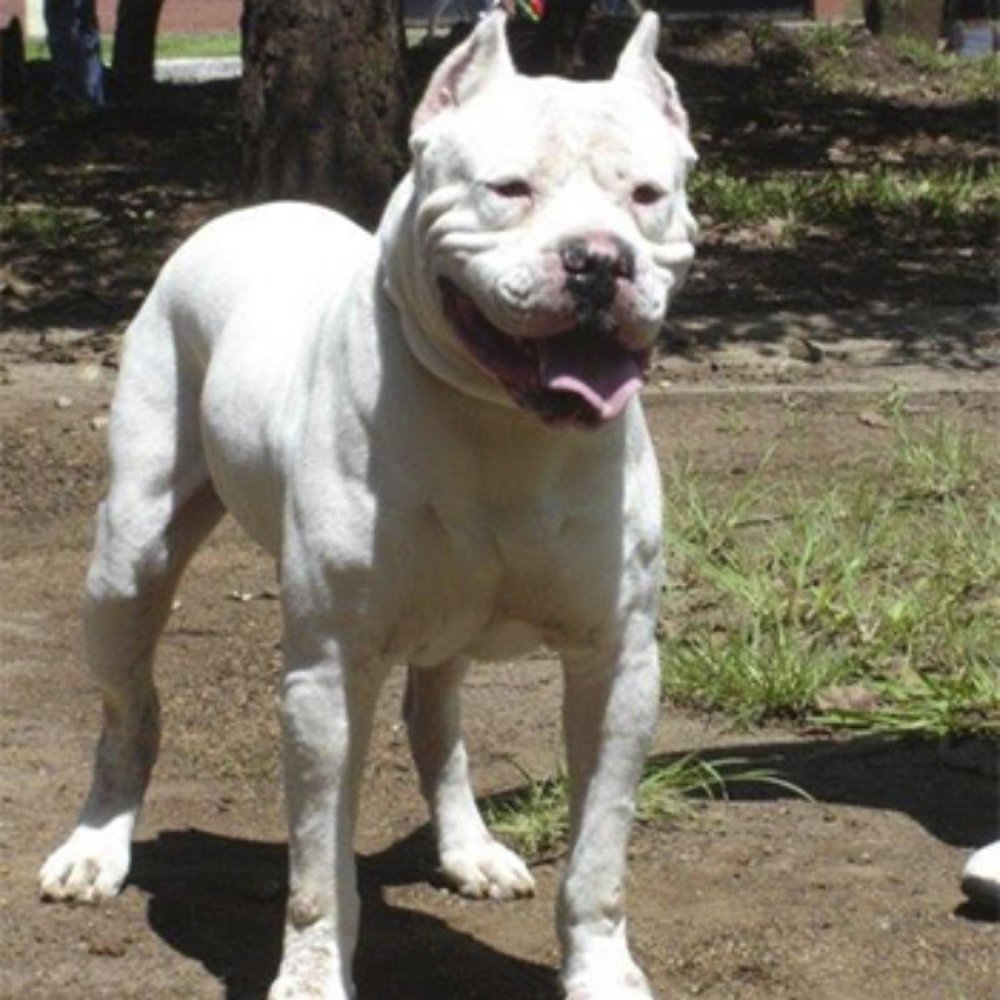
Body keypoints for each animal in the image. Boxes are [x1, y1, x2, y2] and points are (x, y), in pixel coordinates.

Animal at [37, 15, 696, 1000]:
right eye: (509, 189)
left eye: (647, 196)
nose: (598, 260)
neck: (500, 422)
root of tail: (251, 212)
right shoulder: (328, 676)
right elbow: (319, 868)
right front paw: (312, 976)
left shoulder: (617, 664)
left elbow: (598, 859)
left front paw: (602, 972)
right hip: (127, 565)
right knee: (129, 713)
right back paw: (97, 846)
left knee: (436, 722)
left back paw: (467, 847)